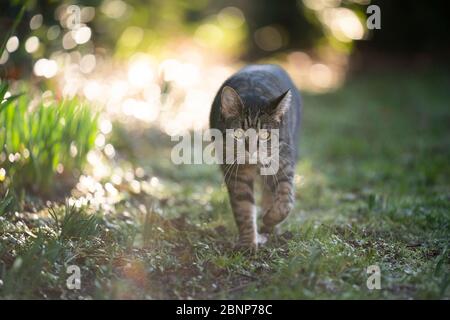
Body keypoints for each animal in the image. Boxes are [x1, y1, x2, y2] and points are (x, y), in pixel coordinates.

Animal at [210, 64, 302, 250]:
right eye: (238, 133)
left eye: (265, 134)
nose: (251, 150)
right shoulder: (237, 174)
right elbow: (243, 208)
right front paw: (248, 243)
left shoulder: (284, 165)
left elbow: (285, 200)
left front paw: (269, 218)